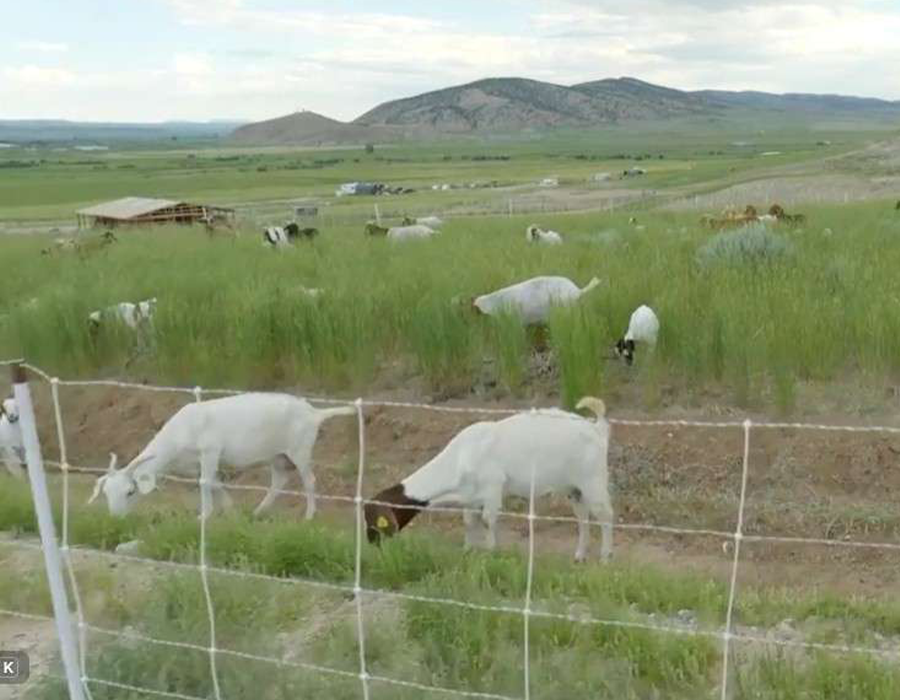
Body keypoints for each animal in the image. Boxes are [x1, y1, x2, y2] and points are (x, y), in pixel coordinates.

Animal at [87, 393, 356, 519]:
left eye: (130, 492)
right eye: (106, 493)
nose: (116, 518)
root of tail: (315, 413)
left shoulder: (210, 451)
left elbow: (205, 483)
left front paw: (203, 515)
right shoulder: (197, 464)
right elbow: (214, 483)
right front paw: (229, 510)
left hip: (299, 449)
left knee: (309, 481)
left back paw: (309, 516)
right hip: (277, 455)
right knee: (279, 481)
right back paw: (258, 512)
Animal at [365, 397, 613, 562]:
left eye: (375, 522)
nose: (371, 543)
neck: (461, 456)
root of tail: (597, 428)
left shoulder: (493, 488)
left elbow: (487, 521)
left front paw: (491, 552)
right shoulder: (470, 498)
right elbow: (469, 522)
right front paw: (467, 550)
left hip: (593, 480)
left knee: (605, 515)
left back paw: (605, 557)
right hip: (575, 489)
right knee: (583, 517)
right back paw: (579, 556)